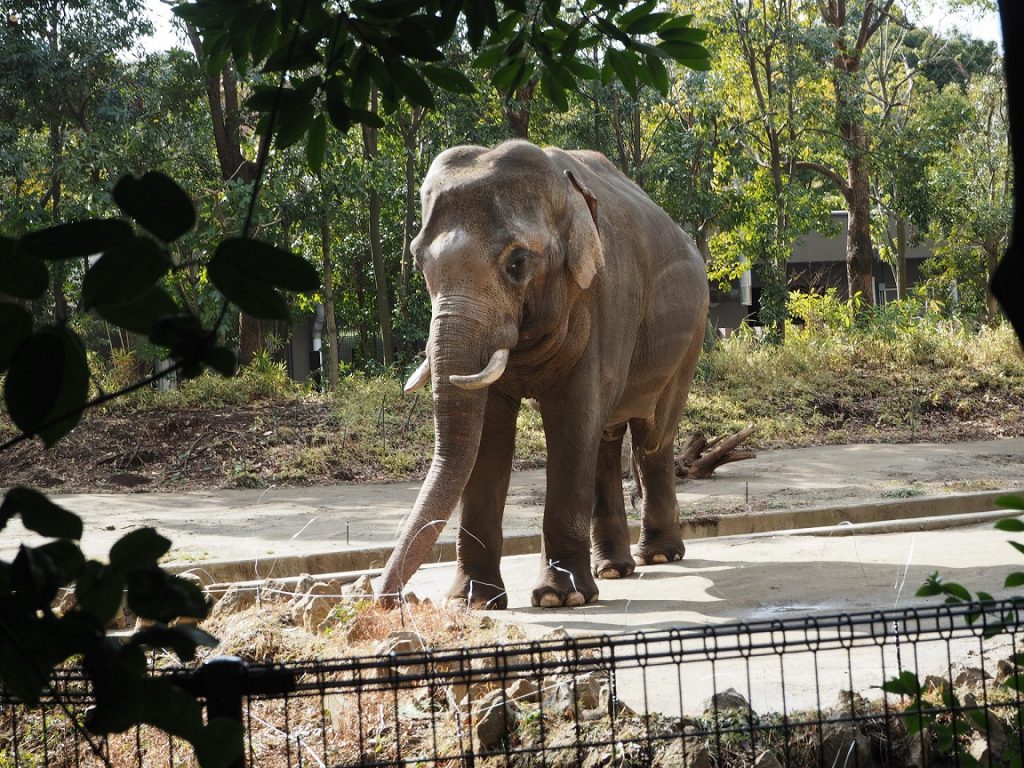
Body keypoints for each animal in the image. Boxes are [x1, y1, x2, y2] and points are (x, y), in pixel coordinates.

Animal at [372, 137, 708, 606]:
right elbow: (489, 433)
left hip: (690, 333)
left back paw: (657, 556)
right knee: (606, 438)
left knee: (652, 433)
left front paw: (558, 598)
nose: (394, 600)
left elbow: (574, 419)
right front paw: (473, 601)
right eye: (420, 264)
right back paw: (613, 569)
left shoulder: (606, 298)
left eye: (517, 263)